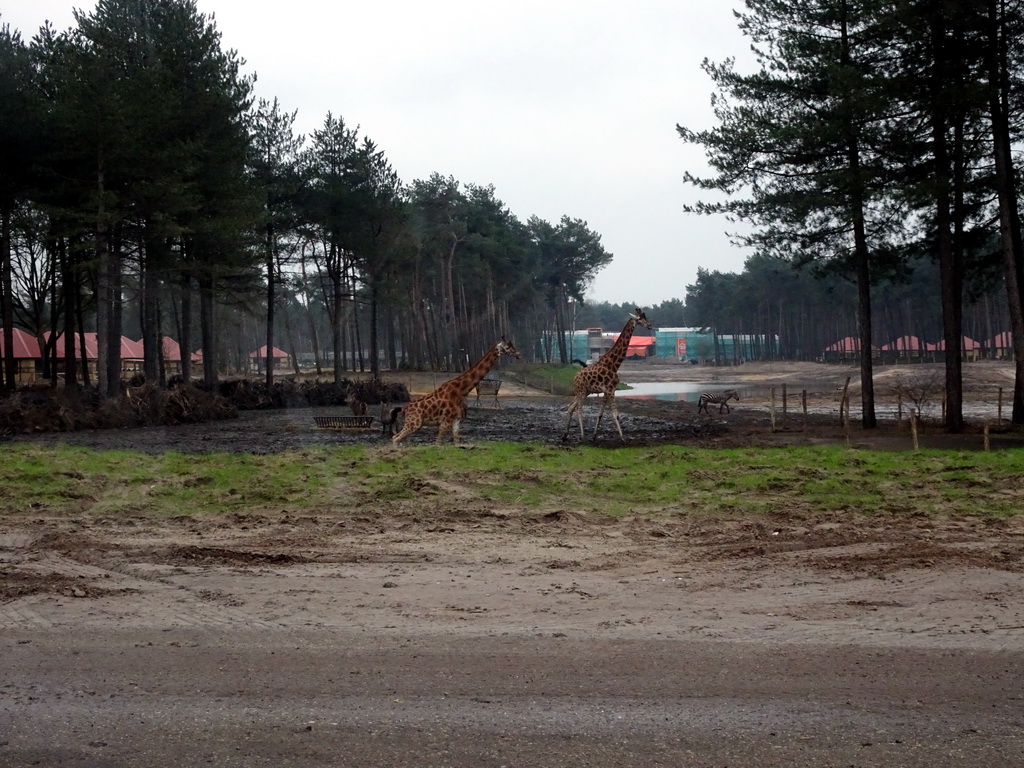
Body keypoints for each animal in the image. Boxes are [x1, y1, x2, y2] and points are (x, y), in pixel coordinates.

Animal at [389, 335, 520, 444]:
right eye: (507, 347)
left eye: (513, 346)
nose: (518, 354)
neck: (461, 391)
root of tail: (405, 409)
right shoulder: (445, 421)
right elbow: (438, 444)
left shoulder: (456, 420)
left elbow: (457, 443)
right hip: (414, 423)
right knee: (396, 438)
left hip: (415, 425)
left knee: (397, 438)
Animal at [565, 309, 651, 442]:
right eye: (640, 319)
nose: (650, 325)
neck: (615, 364)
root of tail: (575, 377)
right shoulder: (610, 390)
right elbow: (615, 414)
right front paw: (623, 438)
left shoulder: (607, 391)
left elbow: (600, 414)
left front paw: (594, 436)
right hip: (581, 391)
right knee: (578, 409)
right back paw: (582, 436)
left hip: (585, 392)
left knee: (571, 407)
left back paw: (565, 435)